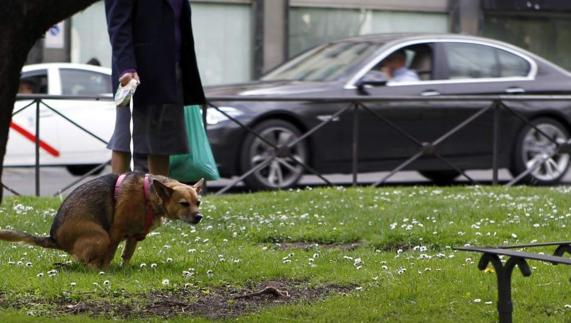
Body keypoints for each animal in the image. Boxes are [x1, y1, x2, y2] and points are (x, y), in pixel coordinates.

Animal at [0, 173, 203, 270]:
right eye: (184, 203)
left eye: (198, 202)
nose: (199, 217)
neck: (148, 196)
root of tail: (54, 239)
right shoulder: (115, 233)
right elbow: (109, 256)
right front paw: (107, 271)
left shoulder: (133, 237)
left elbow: (126, 256)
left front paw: (124, 269)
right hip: (101, 236)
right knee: (89, 264)